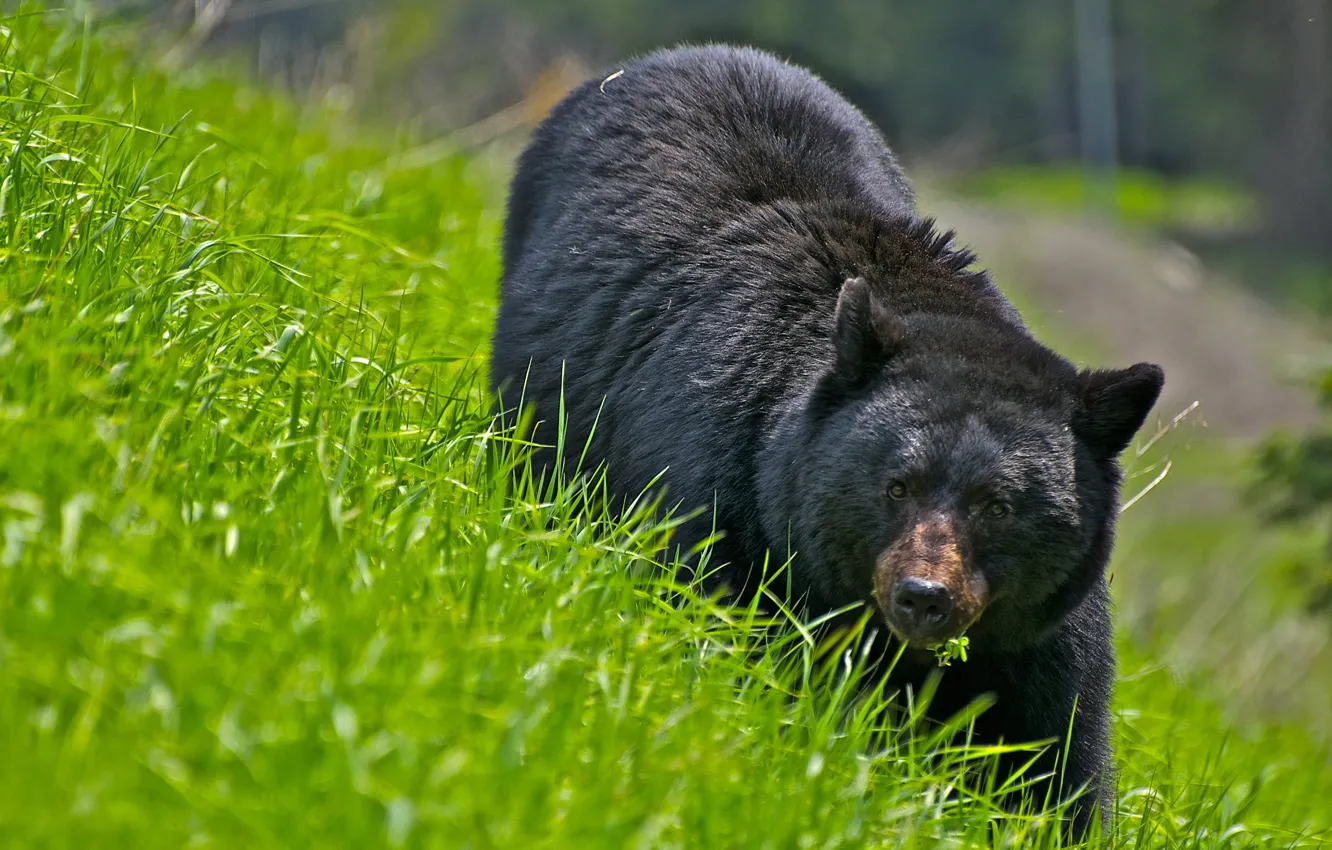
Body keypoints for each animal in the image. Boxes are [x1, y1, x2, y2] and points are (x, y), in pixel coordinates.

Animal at [489, 44, 1165, 837]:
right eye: (896, 485)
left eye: (998, 506)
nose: (924, 598)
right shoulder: (723, 502)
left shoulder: (1037, 638)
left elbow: (1054, 754)